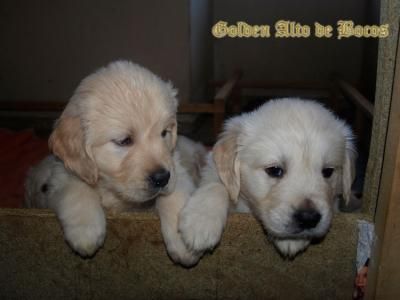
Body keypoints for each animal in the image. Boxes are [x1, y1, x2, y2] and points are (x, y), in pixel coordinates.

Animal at [24, 60, 206, 264]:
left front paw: (184, 243)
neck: (114, 191)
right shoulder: (64, 171)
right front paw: (85, 231)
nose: (161, 178)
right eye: (124, 141)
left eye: (164, 133)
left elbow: (176, 195)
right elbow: (76, 189)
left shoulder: (176, 168)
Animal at [180, 97, 354, 264]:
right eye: (275, 170)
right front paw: (200, 222)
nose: (308, 218)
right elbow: (216, 185)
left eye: (328, 171)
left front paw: (293, 240)